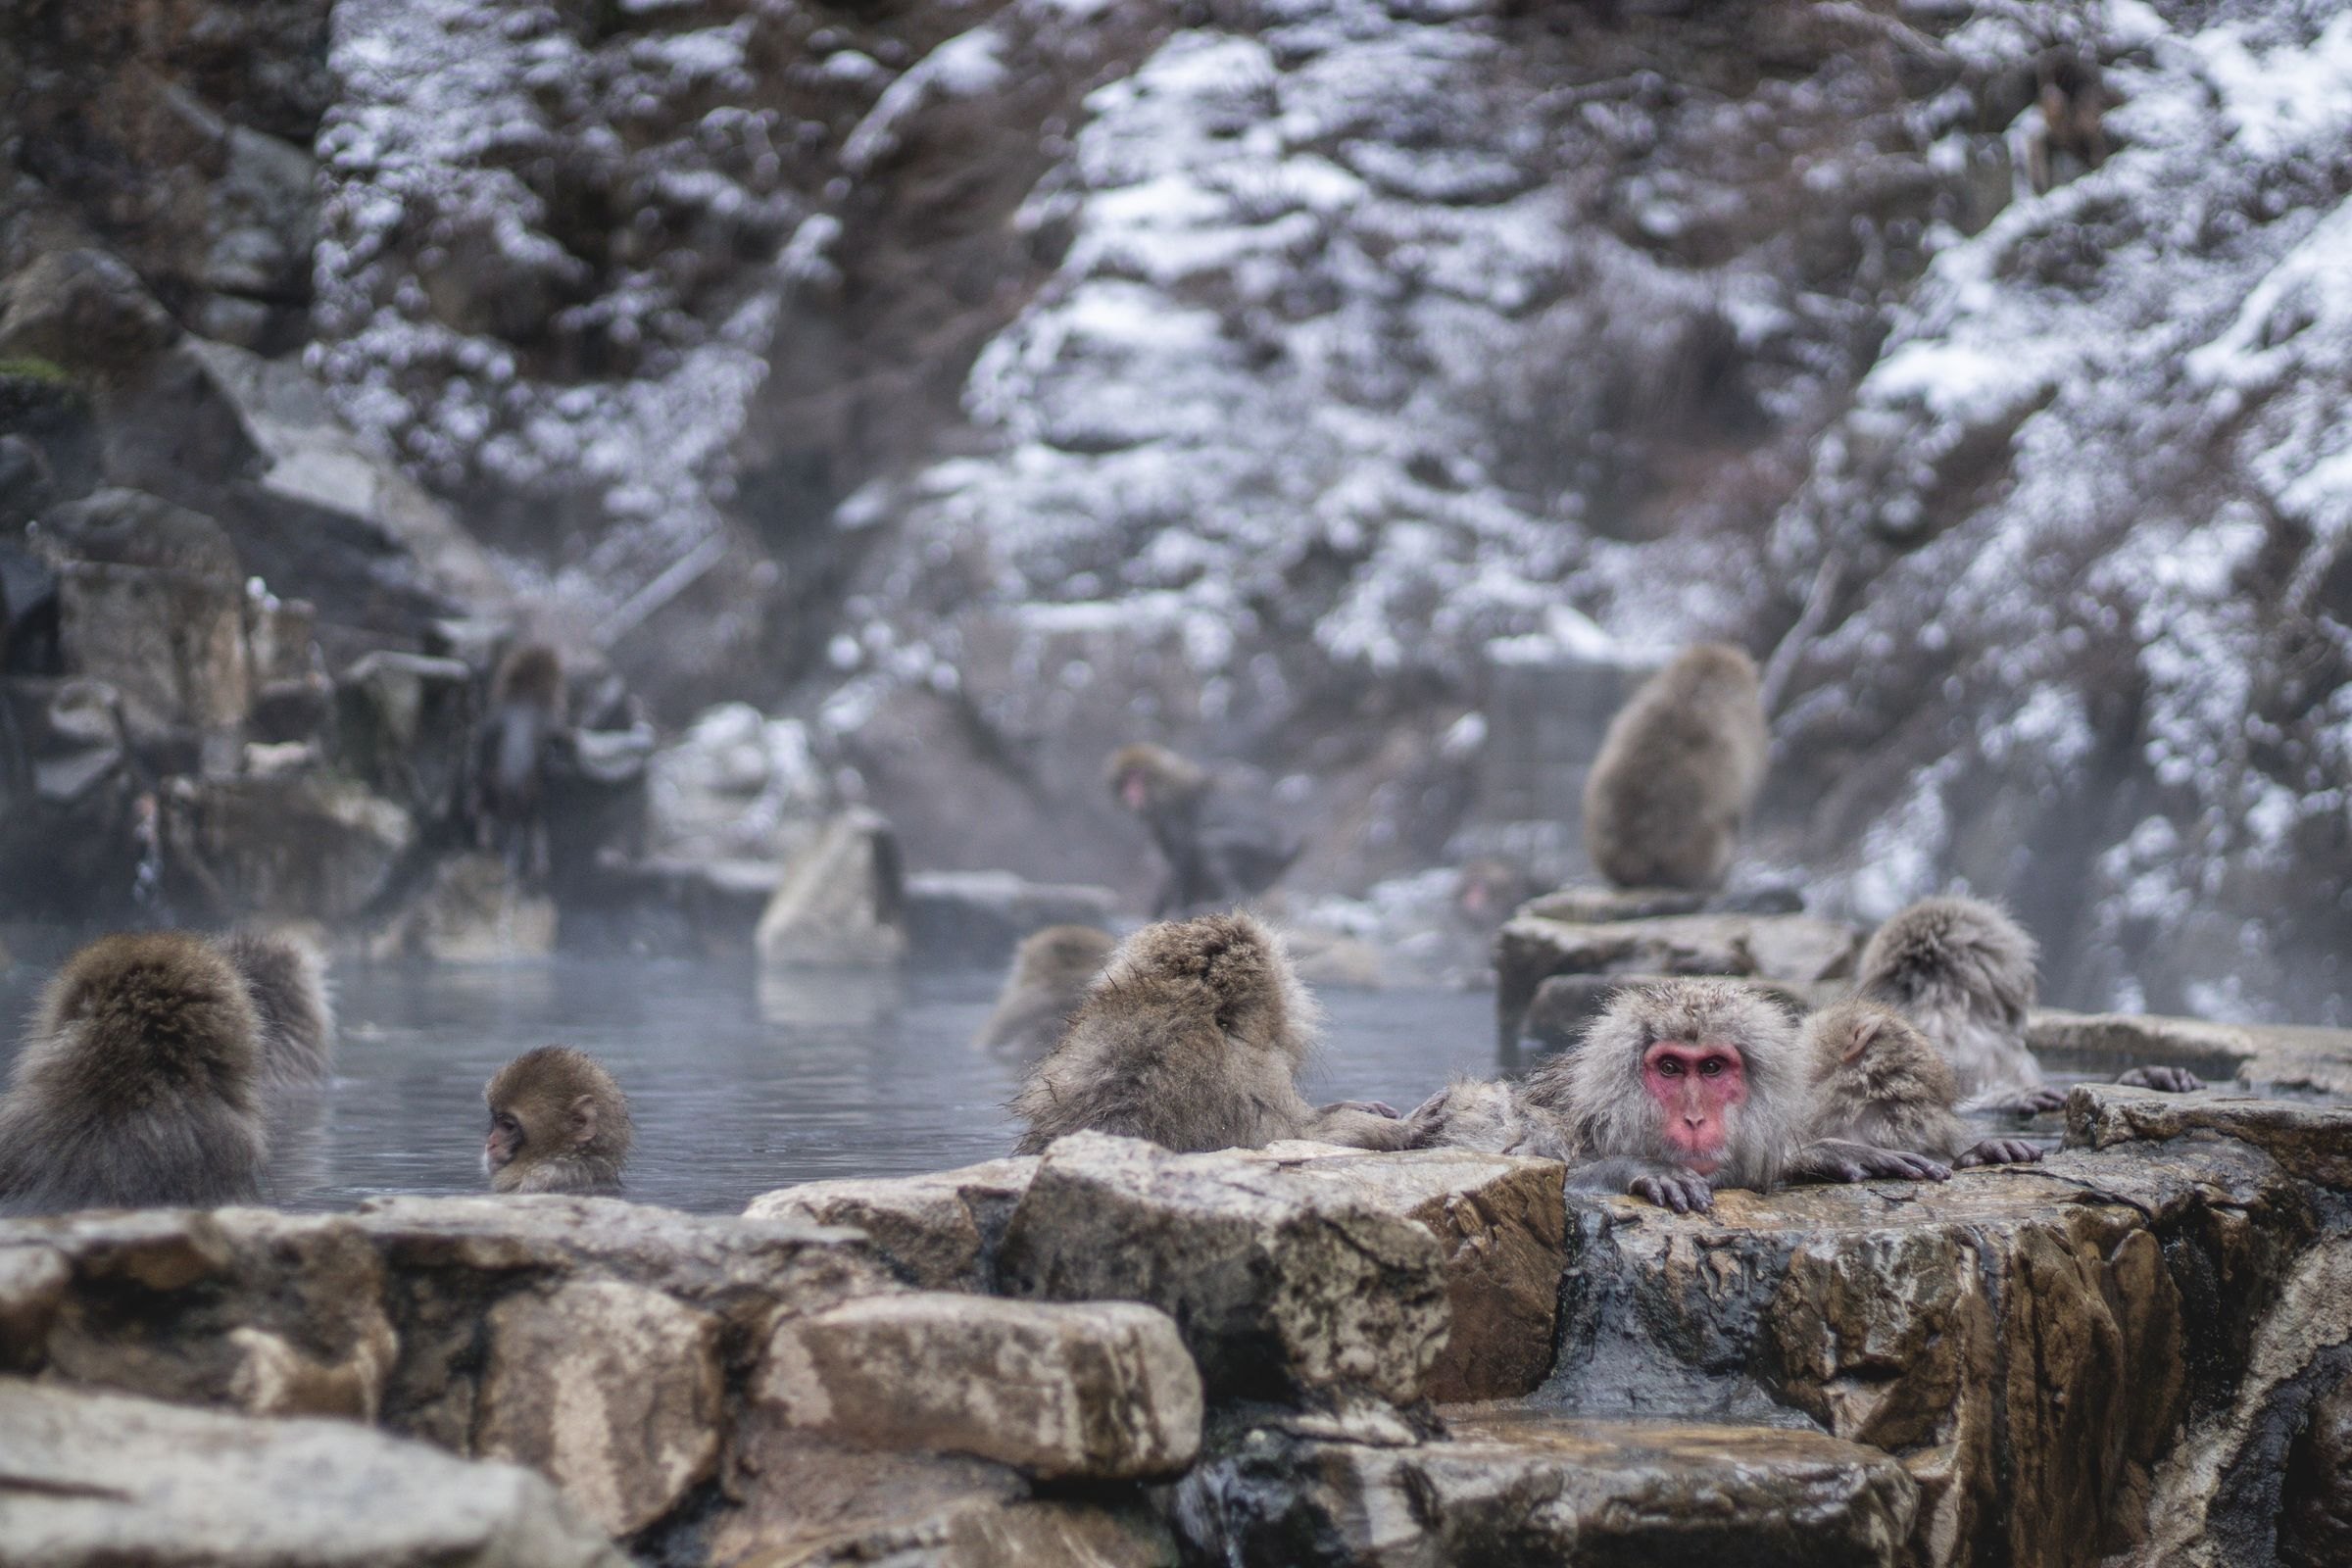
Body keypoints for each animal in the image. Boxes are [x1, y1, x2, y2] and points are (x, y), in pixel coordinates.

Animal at [1105, 744, 1302, 918]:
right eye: (1126, 779)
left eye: (1138, 776)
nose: (1132, 792)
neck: (1166, 786)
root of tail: (1284, 856)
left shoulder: (1171, 818)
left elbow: (1181, 864)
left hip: (1259, 857)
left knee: (1206, 844)